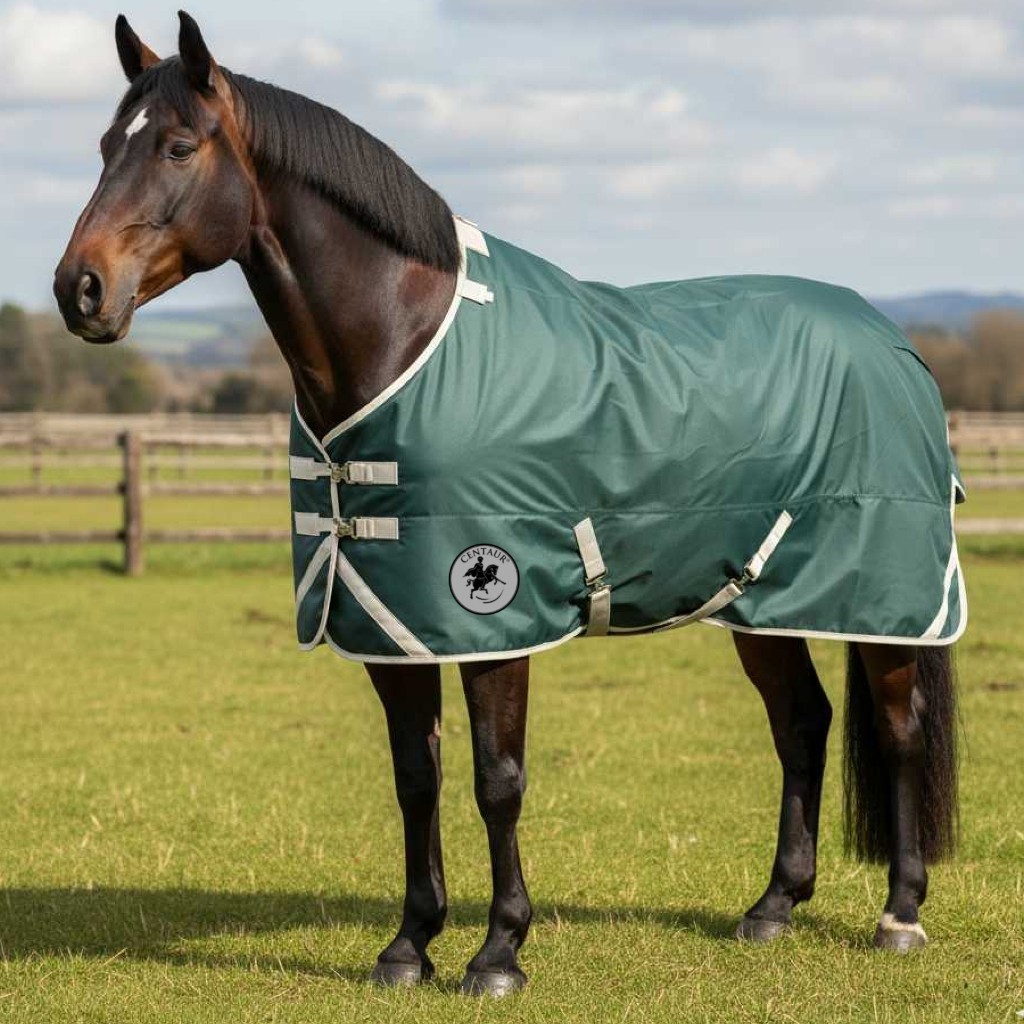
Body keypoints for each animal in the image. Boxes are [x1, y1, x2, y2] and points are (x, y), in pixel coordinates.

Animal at [54, 12, 962, 997]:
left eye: (179, 147)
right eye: (104, 146)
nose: (79, 289)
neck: (405, 340)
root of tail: (893, 341)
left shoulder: (493, 610)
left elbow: (498, 779)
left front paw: (499, 952)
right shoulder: (395, 622)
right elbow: (416, 778)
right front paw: (409, 945)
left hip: (882, 600)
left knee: (900, 731)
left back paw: (901, 914)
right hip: (758, 598)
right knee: (801, 724)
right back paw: (772, 908)